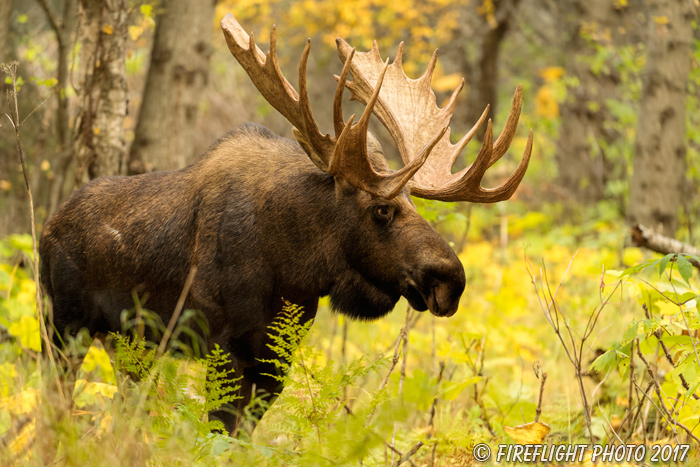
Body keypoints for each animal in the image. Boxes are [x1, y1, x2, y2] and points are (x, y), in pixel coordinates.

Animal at [37, 12, 532, 436]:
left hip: (127, 345)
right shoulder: (224, 344)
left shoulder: (276, 356)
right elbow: (218, 432)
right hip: (64, 326)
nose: (452, 280)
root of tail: (47, 228)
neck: (294, 268)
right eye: (382, 209)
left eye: (414, 203)